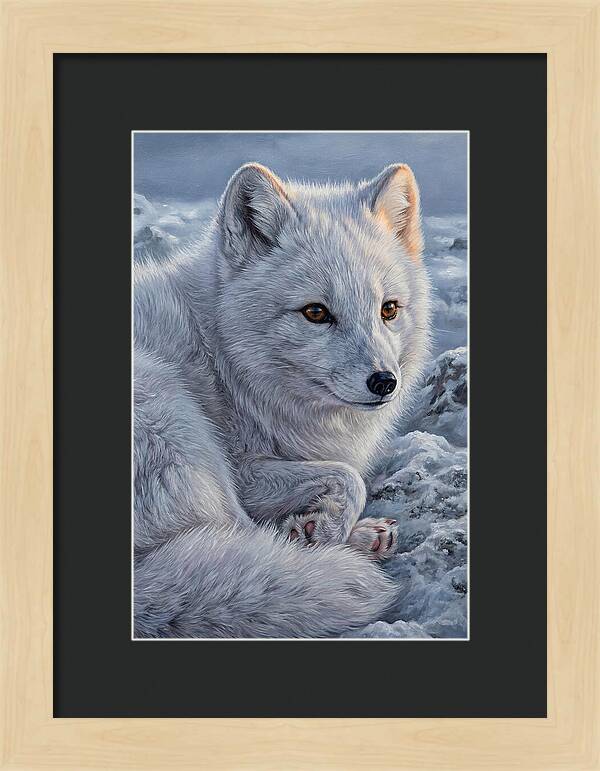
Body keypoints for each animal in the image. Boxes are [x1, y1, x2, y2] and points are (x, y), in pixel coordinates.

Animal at [133, 161, 431, 638]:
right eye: (315, 312)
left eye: (388, 309)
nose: (385, 382)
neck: (222, 358)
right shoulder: (244, 470)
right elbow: (350, 477)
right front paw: (323, 531)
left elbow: (344, 477)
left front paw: (320, 526)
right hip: (175, 417)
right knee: (243, 537)